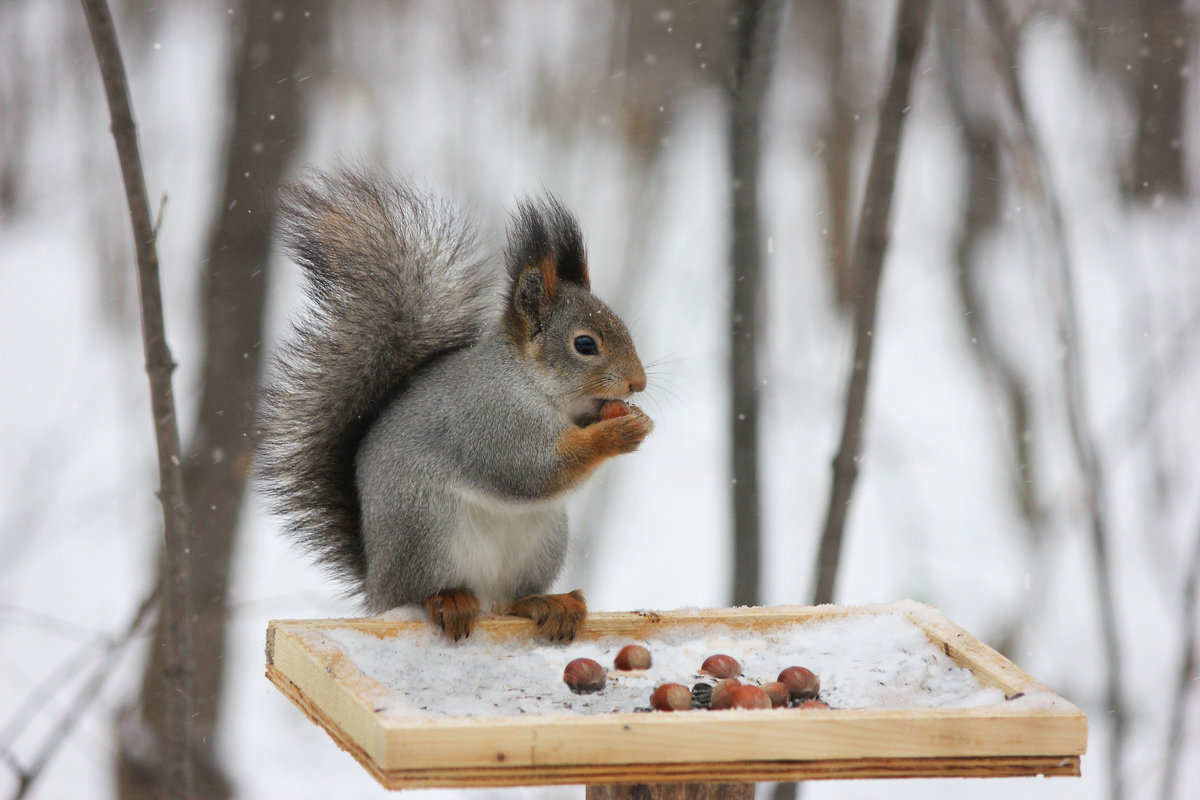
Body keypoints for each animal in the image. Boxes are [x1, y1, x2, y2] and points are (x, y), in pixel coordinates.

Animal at [255, 172, 657, 642]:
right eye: (585, 345)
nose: (638, 383)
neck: (533, 384)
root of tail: (378, 587)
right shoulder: (490, 418)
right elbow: (533, 469)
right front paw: (619, 433)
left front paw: (634, 419)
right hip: (428, 529)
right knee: (427, 592)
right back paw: (449, 600)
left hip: (544, 541)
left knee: (510, 600)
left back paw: (547, 603)